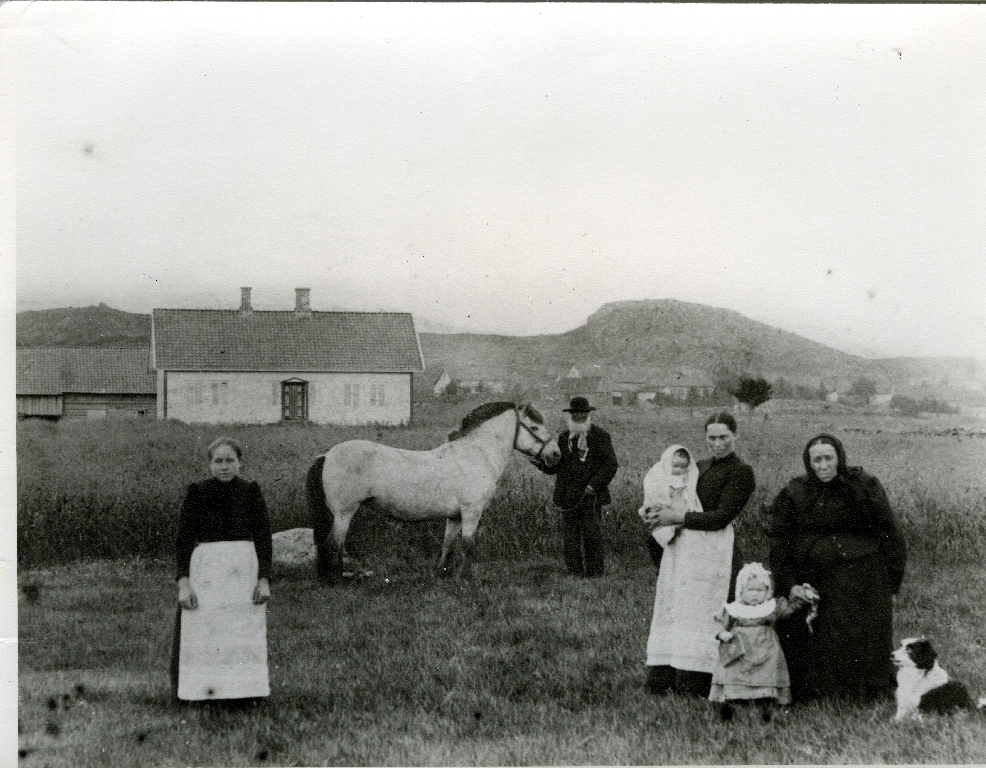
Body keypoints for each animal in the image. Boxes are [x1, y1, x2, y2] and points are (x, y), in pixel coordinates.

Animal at [304, 402, 556, 584]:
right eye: (534, 428)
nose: (555, 454)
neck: (477, 454)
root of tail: (327, 455)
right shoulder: (471, 512)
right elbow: (468, 544)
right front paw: (467, 578)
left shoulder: (455, 516)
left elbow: (448, 544)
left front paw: (442, 573)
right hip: (344, 513)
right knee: (332, 545)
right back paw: (337, 580)